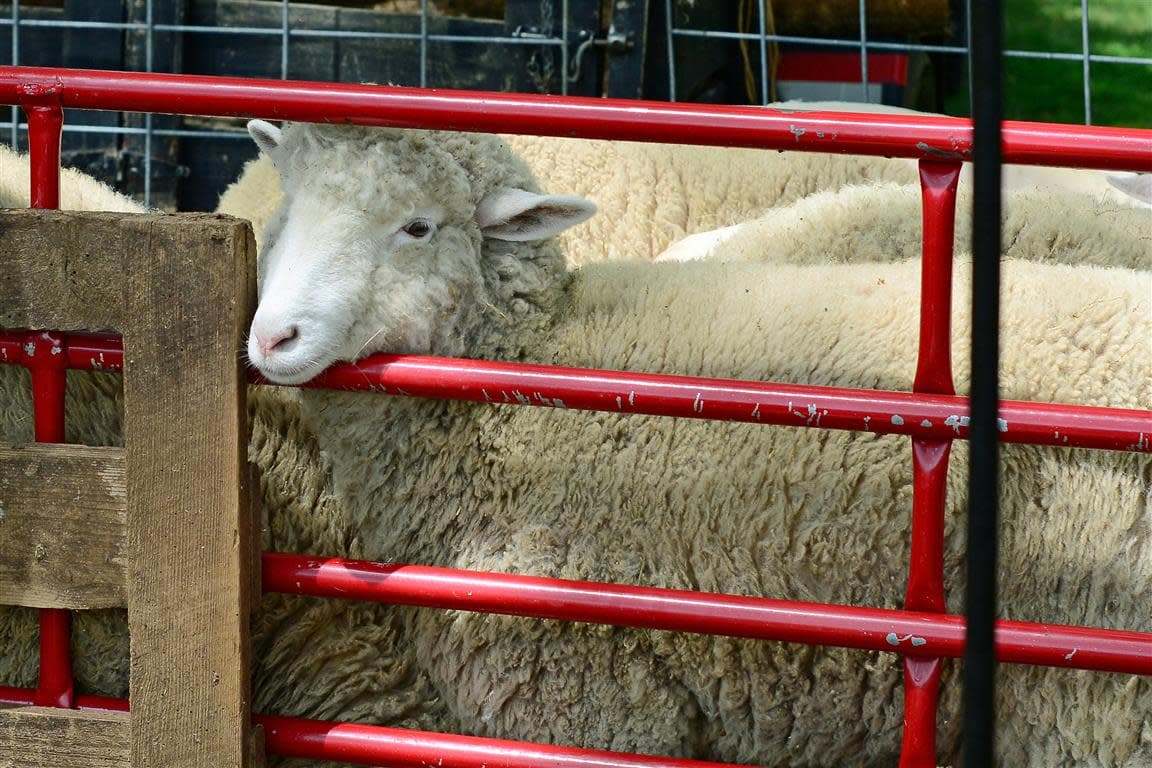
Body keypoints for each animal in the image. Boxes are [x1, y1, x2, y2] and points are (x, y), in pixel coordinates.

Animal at [246, 119, 1151, 767]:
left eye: (418, 227)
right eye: (286, 215)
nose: (272, 338)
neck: (523, 383)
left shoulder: (580, 691)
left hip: (1092, 704)